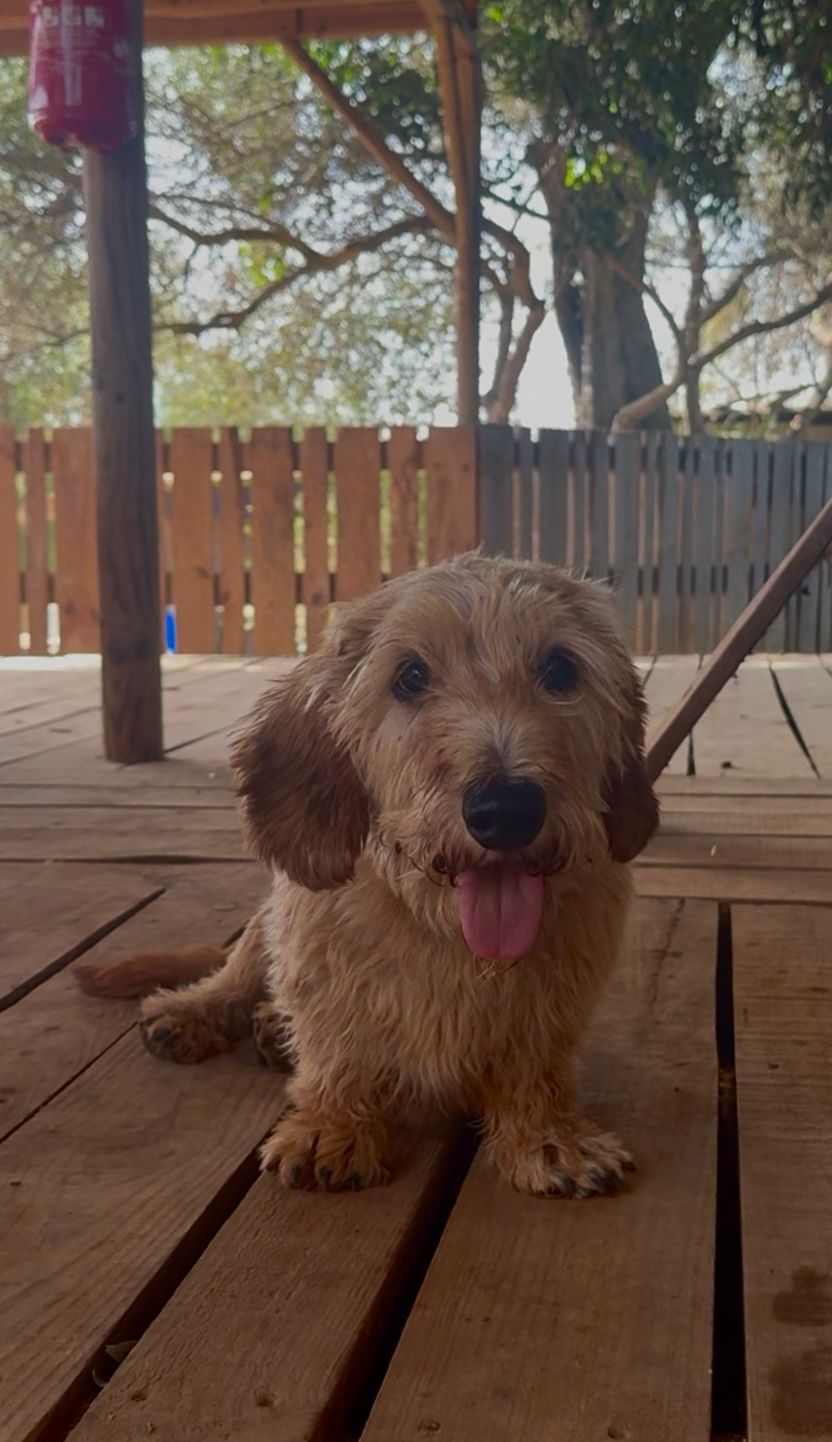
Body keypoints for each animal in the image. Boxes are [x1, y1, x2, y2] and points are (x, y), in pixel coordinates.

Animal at [78, 554, 658, 1197]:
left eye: (560, 668)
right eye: (409, 675)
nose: (506, 811)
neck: (450, 935)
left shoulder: (555, 1001)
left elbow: (538, 1065)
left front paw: (549, 1137)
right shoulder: (316, 958)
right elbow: (337, 1049)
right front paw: (330, 1128)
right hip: (266, 922)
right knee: (235, 976)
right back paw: (196, 1011)